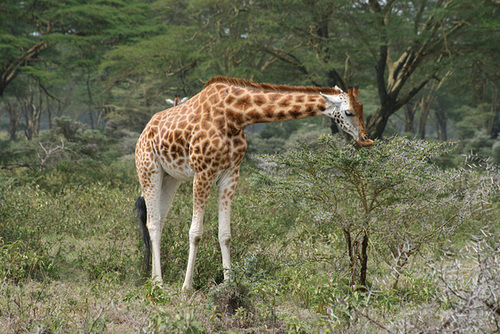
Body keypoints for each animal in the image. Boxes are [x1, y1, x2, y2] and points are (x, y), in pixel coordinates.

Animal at [135, 75, 374, 290]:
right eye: (348, 112)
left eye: (362, 108)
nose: (366, 139)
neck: (235, 116)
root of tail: (144, 131)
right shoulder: (203, 172)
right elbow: (195, 233)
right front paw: (187, 288)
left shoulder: (230, 174)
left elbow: (225, 235)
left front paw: (229, 283)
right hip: (149, 169)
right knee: (153, 223)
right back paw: (158, 283)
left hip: (171, 178)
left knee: (160, 220)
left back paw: (155, 279)